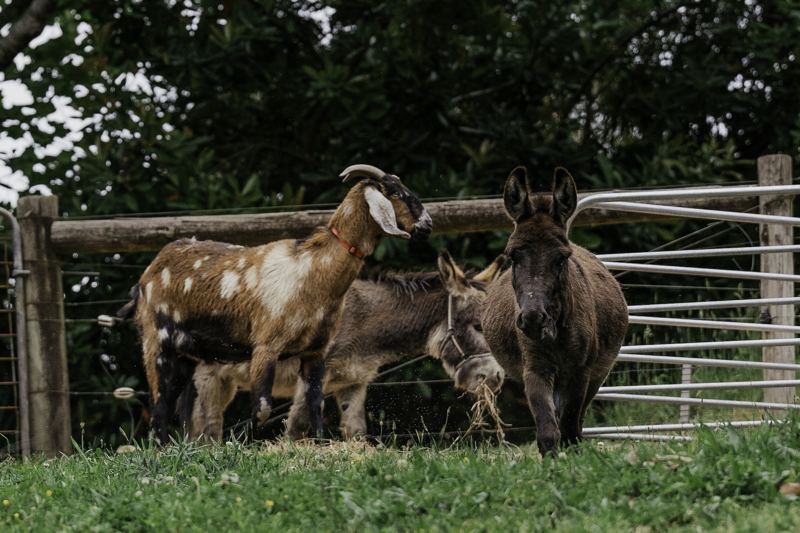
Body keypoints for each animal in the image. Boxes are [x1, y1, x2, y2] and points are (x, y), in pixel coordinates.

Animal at [133, 164, 432, 443]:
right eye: (396, 193)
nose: (427, 224)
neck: (312, 270)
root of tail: (148, 273)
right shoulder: (266, 347)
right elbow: (263, 408)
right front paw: (244, 444)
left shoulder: (316, 351)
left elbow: (315, 405)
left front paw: (320, 444)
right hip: (157, 345)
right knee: (159, 408)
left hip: (187, 356)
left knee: (168, 405)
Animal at [173, 252, 506, 440]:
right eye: (477, 325)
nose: (498, 377)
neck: (364, 320)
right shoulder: (311, 381)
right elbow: (296, 429)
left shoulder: (352, 382)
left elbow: (356, 431)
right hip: (209, 376)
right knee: (209, 425)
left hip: (224, 379)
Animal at [481, 167, 628, 457]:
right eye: (512, 256)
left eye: (561, 258)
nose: (533, 320)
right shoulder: (535, 369)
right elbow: (548, 431)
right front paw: (551, 462)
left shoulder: (581, 372)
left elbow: (570, 428)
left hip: (596, 375)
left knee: (576, 421)